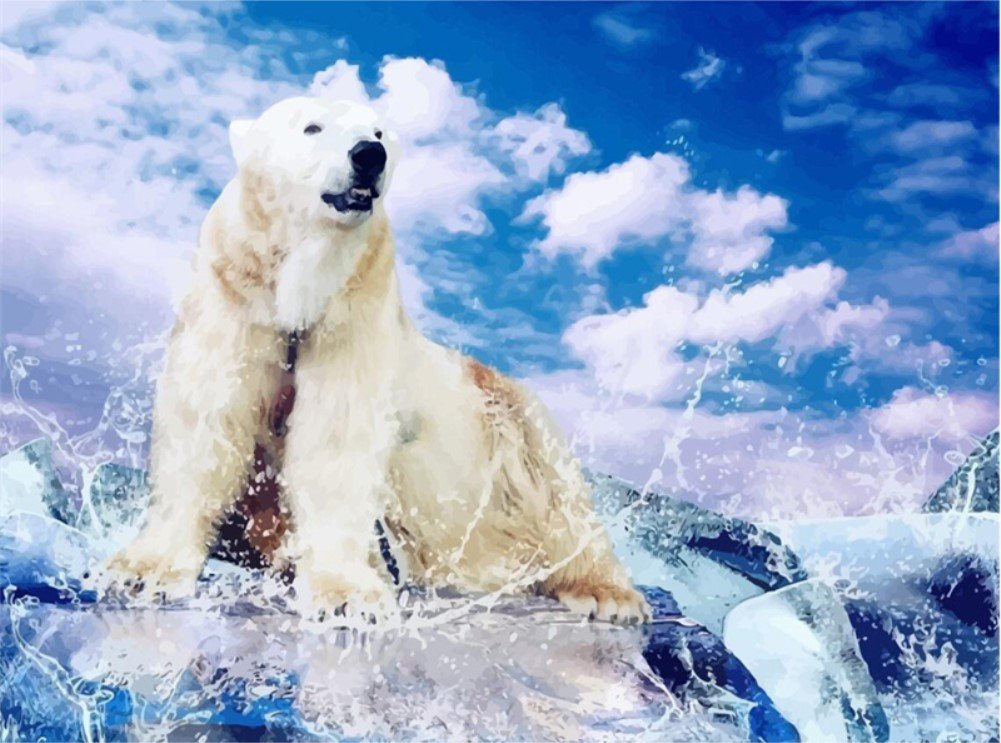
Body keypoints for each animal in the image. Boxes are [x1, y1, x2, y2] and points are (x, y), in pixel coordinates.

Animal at [104, 97, 649, 625]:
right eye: (312, 126)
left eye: (380, 131)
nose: (369, 155)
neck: (304, 286)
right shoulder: (236, 291)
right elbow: (207, 417)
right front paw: (141, 572)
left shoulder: (356, 310)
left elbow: (338, 435)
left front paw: (347, 596)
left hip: (512, 416)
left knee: (561, 496)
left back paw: (607, 595)